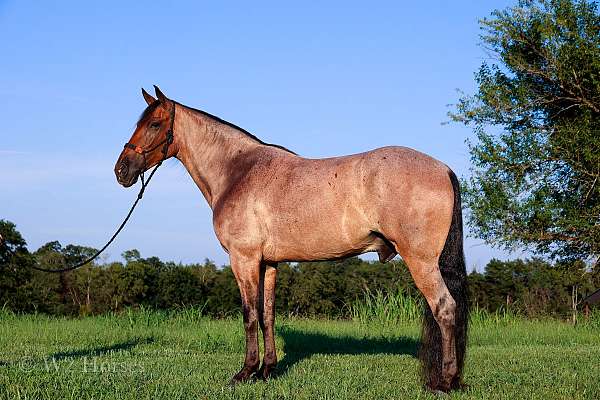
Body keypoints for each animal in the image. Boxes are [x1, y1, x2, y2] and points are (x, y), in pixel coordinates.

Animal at [113, 86, 468, 392]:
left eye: (155, 123)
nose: (121, 170)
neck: (237, 170)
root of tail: (443, 167)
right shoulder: (269, 263)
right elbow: (267, 314)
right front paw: (267, 370)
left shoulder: (243, 259)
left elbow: (249, 315)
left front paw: (245, 372)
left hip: (421, 262)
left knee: (445, 308)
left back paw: (446, 381)